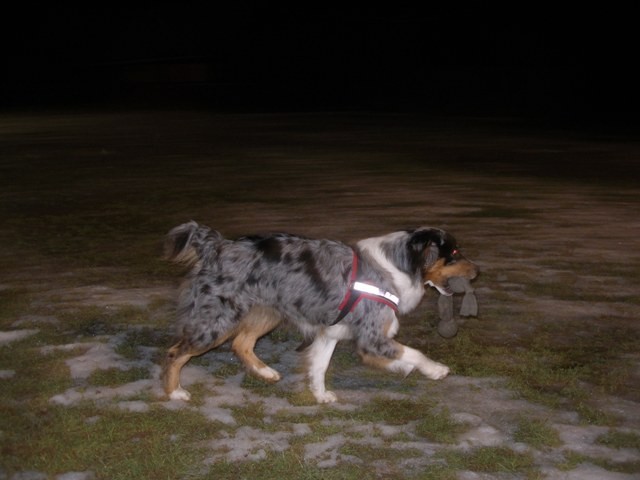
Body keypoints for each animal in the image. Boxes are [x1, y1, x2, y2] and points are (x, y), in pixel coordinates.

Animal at [162, 223, 478, 404]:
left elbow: (319, 366)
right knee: (176, 352)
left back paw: (265, 372)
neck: (399, 265)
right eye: (455, 253)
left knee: (241, 343)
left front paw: (320, 394)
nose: (478, 271)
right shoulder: (372, 338)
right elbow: (414, 353)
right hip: (216, 321)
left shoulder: (330, 333)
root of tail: (218, 246)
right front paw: (434, 369)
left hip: (268, 312)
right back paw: (174, 392)